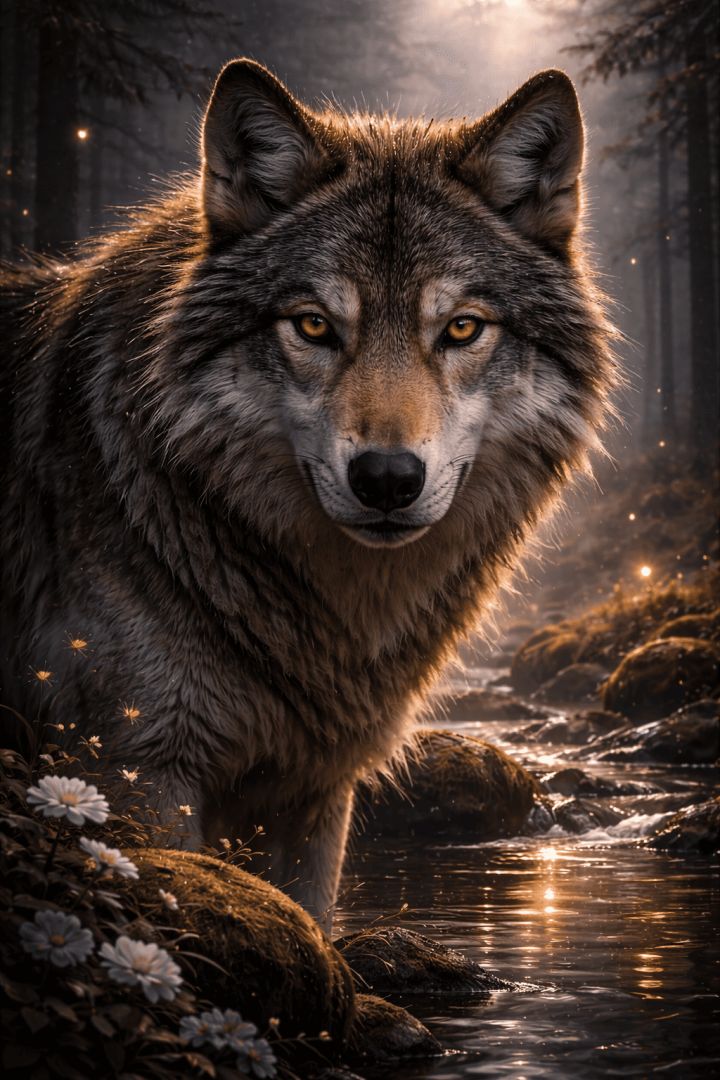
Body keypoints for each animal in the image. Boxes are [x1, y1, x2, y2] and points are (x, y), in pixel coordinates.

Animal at [0, 60, 614, 928]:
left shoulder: (317, 792)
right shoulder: (140, 770)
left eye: (462, 329)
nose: (387, 478)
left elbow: (312, 932)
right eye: (315, 326)